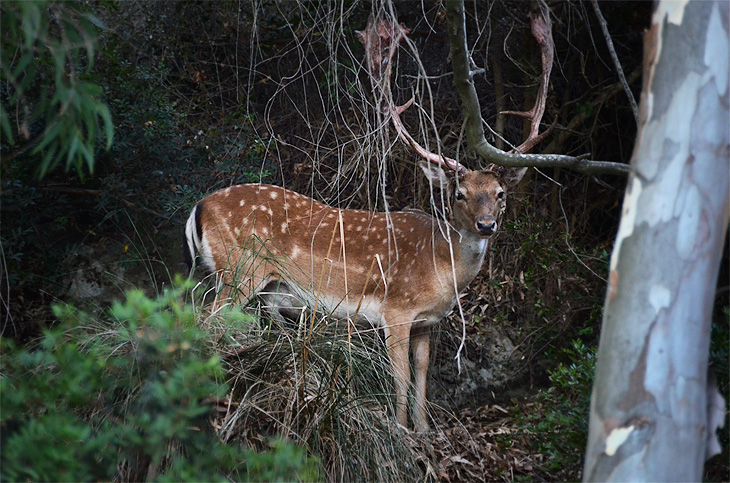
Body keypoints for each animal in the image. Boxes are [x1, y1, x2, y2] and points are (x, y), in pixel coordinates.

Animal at [183, 161, 524, 432]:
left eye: (500, 193)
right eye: (459, 194)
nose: (486, 225)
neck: (439, 264)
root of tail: (198, 207)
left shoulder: (427, 322)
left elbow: (422, 370)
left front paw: (424, 429)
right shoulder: (396, 309)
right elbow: (400, 373)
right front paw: (401, 428)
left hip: (253, 283)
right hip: (239, 271)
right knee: (204, 323)